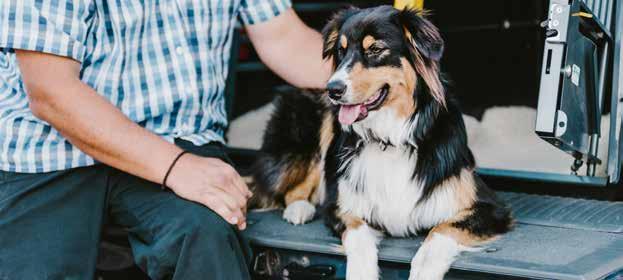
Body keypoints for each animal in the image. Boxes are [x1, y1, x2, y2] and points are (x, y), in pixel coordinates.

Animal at [249, 5, 512, 278]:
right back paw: (299, 208)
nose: (332, 89)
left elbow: (439, 233)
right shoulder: (341, 206)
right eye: (341, 51)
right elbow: (359, 238)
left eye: (375, 49)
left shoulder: (488, 207)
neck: (389, 138)